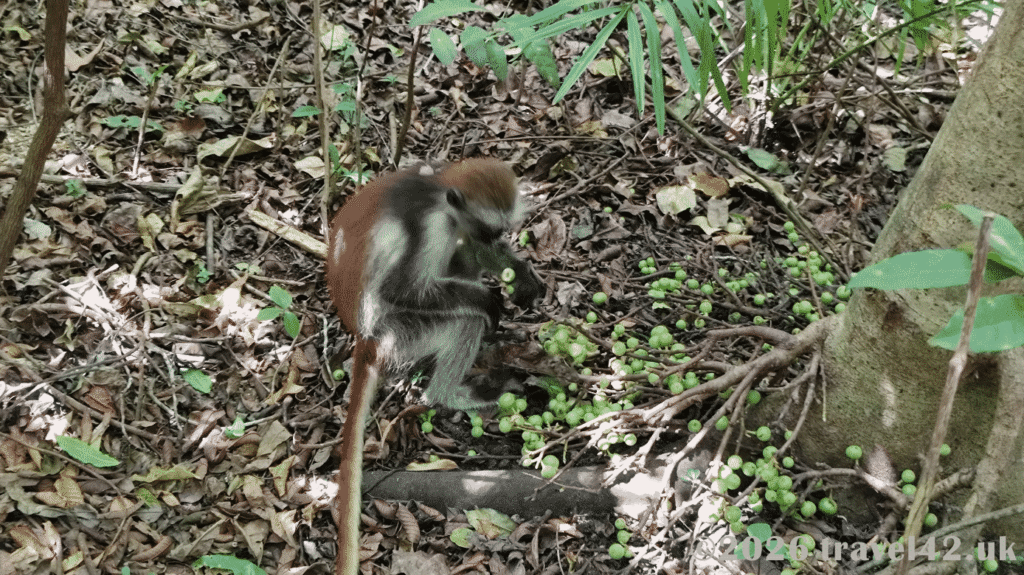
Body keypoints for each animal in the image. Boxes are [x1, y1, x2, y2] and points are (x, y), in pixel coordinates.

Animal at [325, 158, 542, 575]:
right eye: (491, 228)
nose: (495, 240)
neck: (436, 188)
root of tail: (366, 338)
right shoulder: (431, 225)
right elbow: (401, 289)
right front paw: (487, 300)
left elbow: (468, 245)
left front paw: (521, 275)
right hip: (402, 333)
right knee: (462, 319)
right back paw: (453, 391)